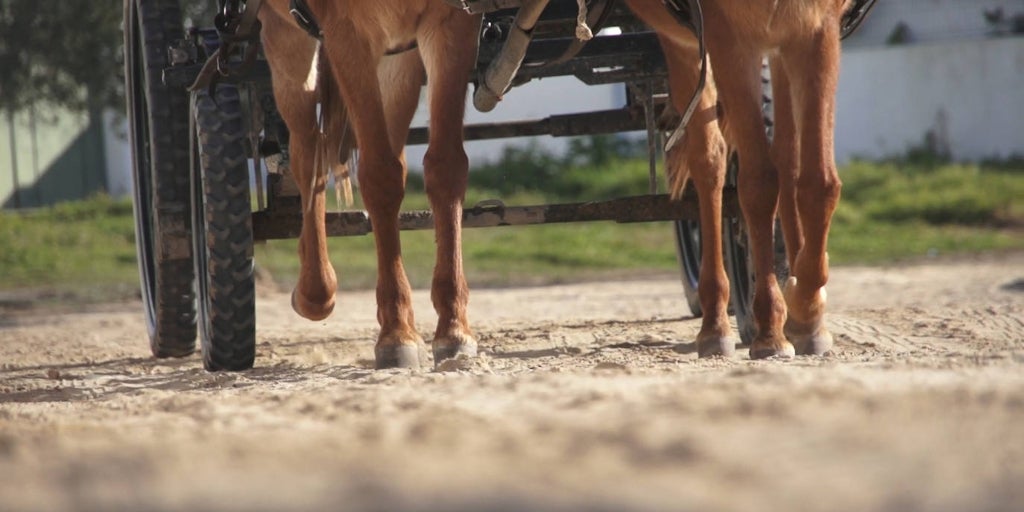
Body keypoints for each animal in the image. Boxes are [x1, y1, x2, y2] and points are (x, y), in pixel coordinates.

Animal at [256, 0, 479, 368]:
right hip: (284, 35)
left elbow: (446, 167)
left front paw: (453, 328)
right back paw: (314, 288)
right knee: (308, 152)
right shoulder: (349, 35)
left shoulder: (452, 20)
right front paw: (396, 332)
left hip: (397, 61)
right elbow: (380, 177)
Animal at [630, 0, 847, 360]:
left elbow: (819, 182)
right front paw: (771, 330)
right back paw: (715, 324)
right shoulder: (728, 38)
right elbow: (759, 184)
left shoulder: (817, 29)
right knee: (710, 160)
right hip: (686, 45)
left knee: (787, 157)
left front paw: (806, 313)